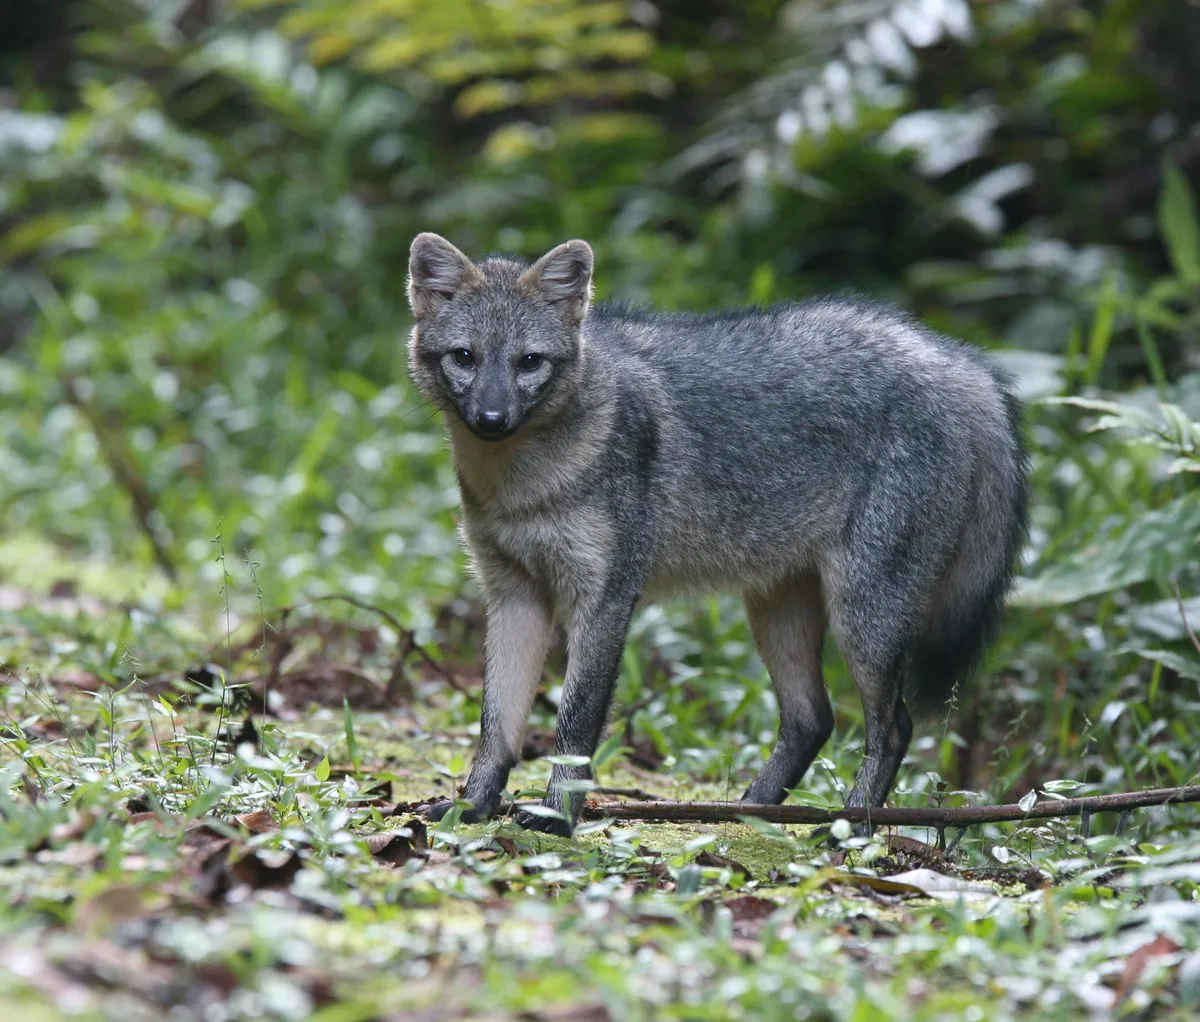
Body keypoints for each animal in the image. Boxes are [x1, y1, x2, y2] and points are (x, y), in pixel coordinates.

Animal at [407, 232, 1028, 836]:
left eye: (529, 362)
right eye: (465, 357)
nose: (491, 420)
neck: (523, 487)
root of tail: (954, 358)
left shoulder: (604, 598)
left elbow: (576, 723)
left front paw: (557, 818)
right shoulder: (514, 594)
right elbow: (496, 724)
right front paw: (473, 807)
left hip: (863, 618)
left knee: (893, 725)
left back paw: (849, 827)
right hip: (779, 612)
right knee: (813, 719)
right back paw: (754, 811)